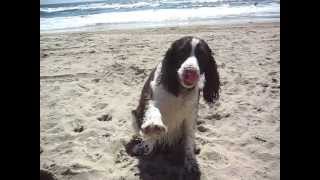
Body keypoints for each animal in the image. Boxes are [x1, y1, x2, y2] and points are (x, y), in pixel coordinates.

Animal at [130, 35, 220, 172]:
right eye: (182, 52)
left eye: (202, 55)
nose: (190, 72)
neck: (180, 89)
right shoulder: (151, 97)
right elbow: (153, 109)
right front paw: (153, 125)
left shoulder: (191, 114)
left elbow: (189, 139)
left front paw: (191, 161)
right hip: (135, 115)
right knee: (147, 138)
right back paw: (144, 145)